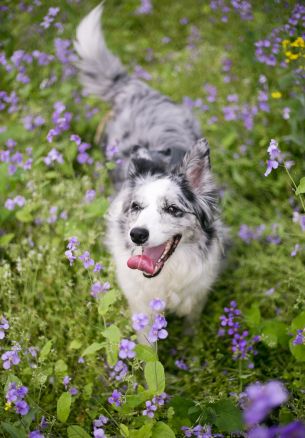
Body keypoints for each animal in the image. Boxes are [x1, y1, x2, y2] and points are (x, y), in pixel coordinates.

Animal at [75, 4, 224, 336]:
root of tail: (135, 88)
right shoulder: (141, 306)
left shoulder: (196, 295)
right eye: (136, 207)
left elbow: (192, 327)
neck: (166, 276)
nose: (137, 235)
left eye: (173, 209)